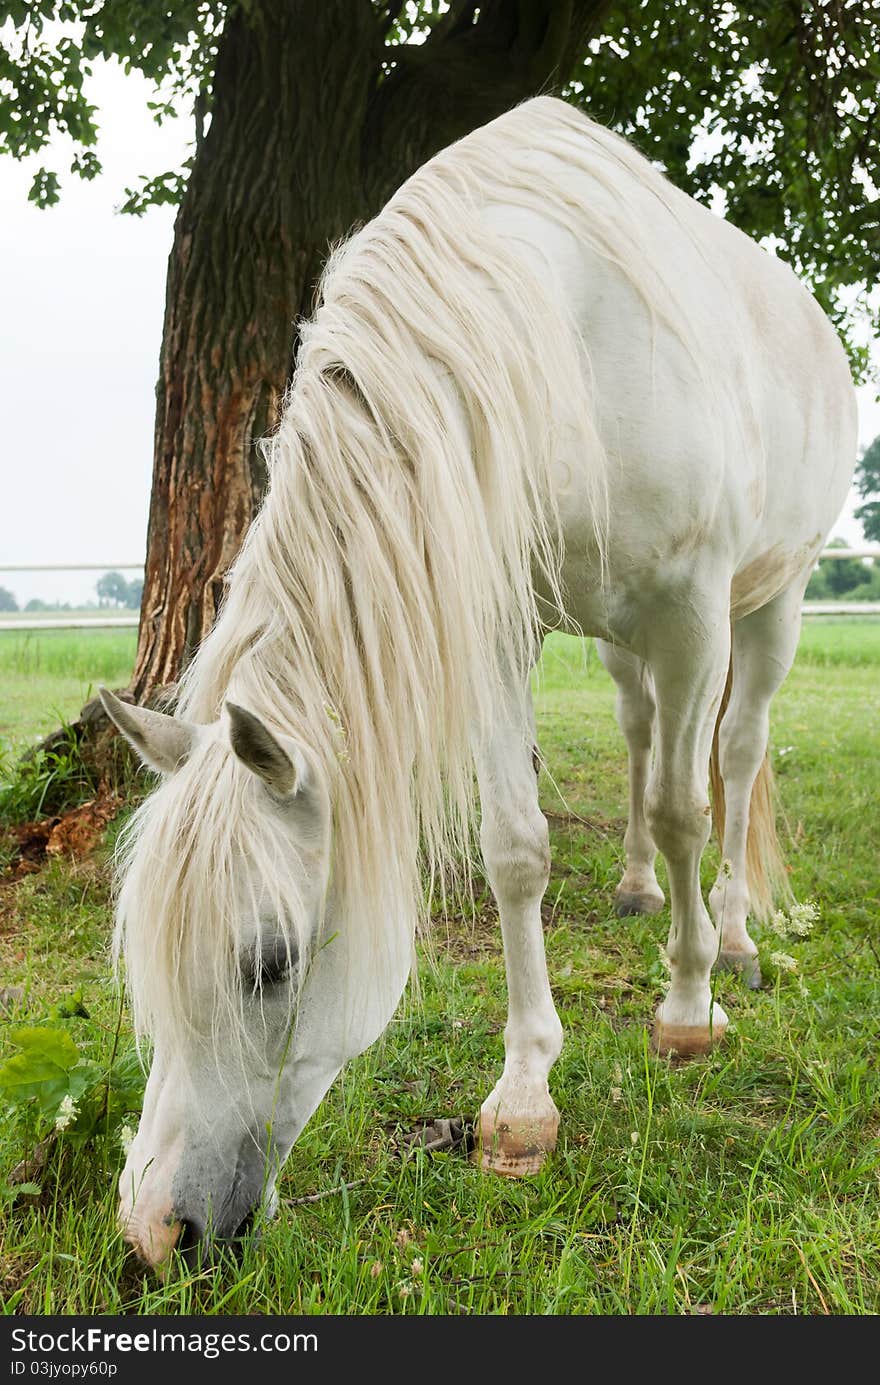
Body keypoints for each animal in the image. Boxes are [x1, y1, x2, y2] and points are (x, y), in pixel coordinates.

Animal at [99, 94, 859, 1268]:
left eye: (268, 961)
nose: (154, 1229)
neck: (565, 333)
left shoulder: (691, 611)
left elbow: (686, 810)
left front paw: (685, 1012)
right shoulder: (503, 624)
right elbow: (517, 849)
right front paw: (523, 1099)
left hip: (764, 604)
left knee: (728, 762)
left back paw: (729, 937)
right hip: (618, 638)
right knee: (641, 733)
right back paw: (637, 887)